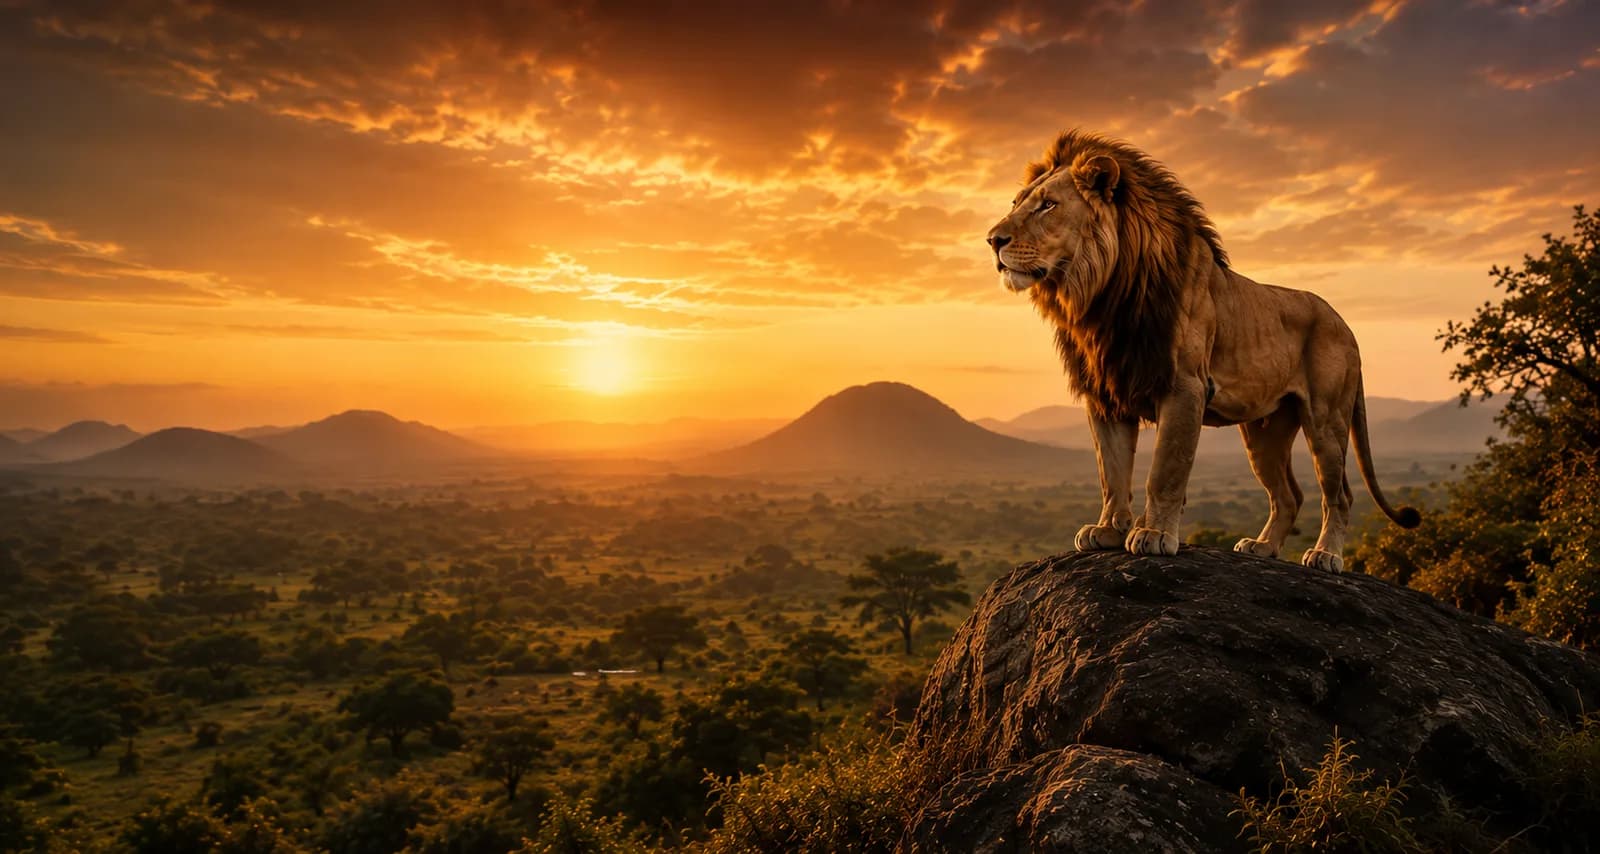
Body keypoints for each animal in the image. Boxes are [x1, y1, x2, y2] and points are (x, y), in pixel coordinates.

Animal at [985, 130, 1419, 571]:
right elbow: (1112, 471)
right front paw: (1106, 530)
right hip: (1265, 430)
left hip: (1326, 419)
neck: (1102, 298)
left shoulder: (1184, 386)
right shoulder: (1107, 393)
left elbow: (1165, 470)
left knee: (1339, 494)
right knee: (1288, 495)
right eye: (1016, 203)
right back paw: (1263, 547)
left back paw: (1325, 555)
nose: (992, 240)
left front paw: (1154, 535)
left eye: (1048, 205)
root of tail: (1346, 326)